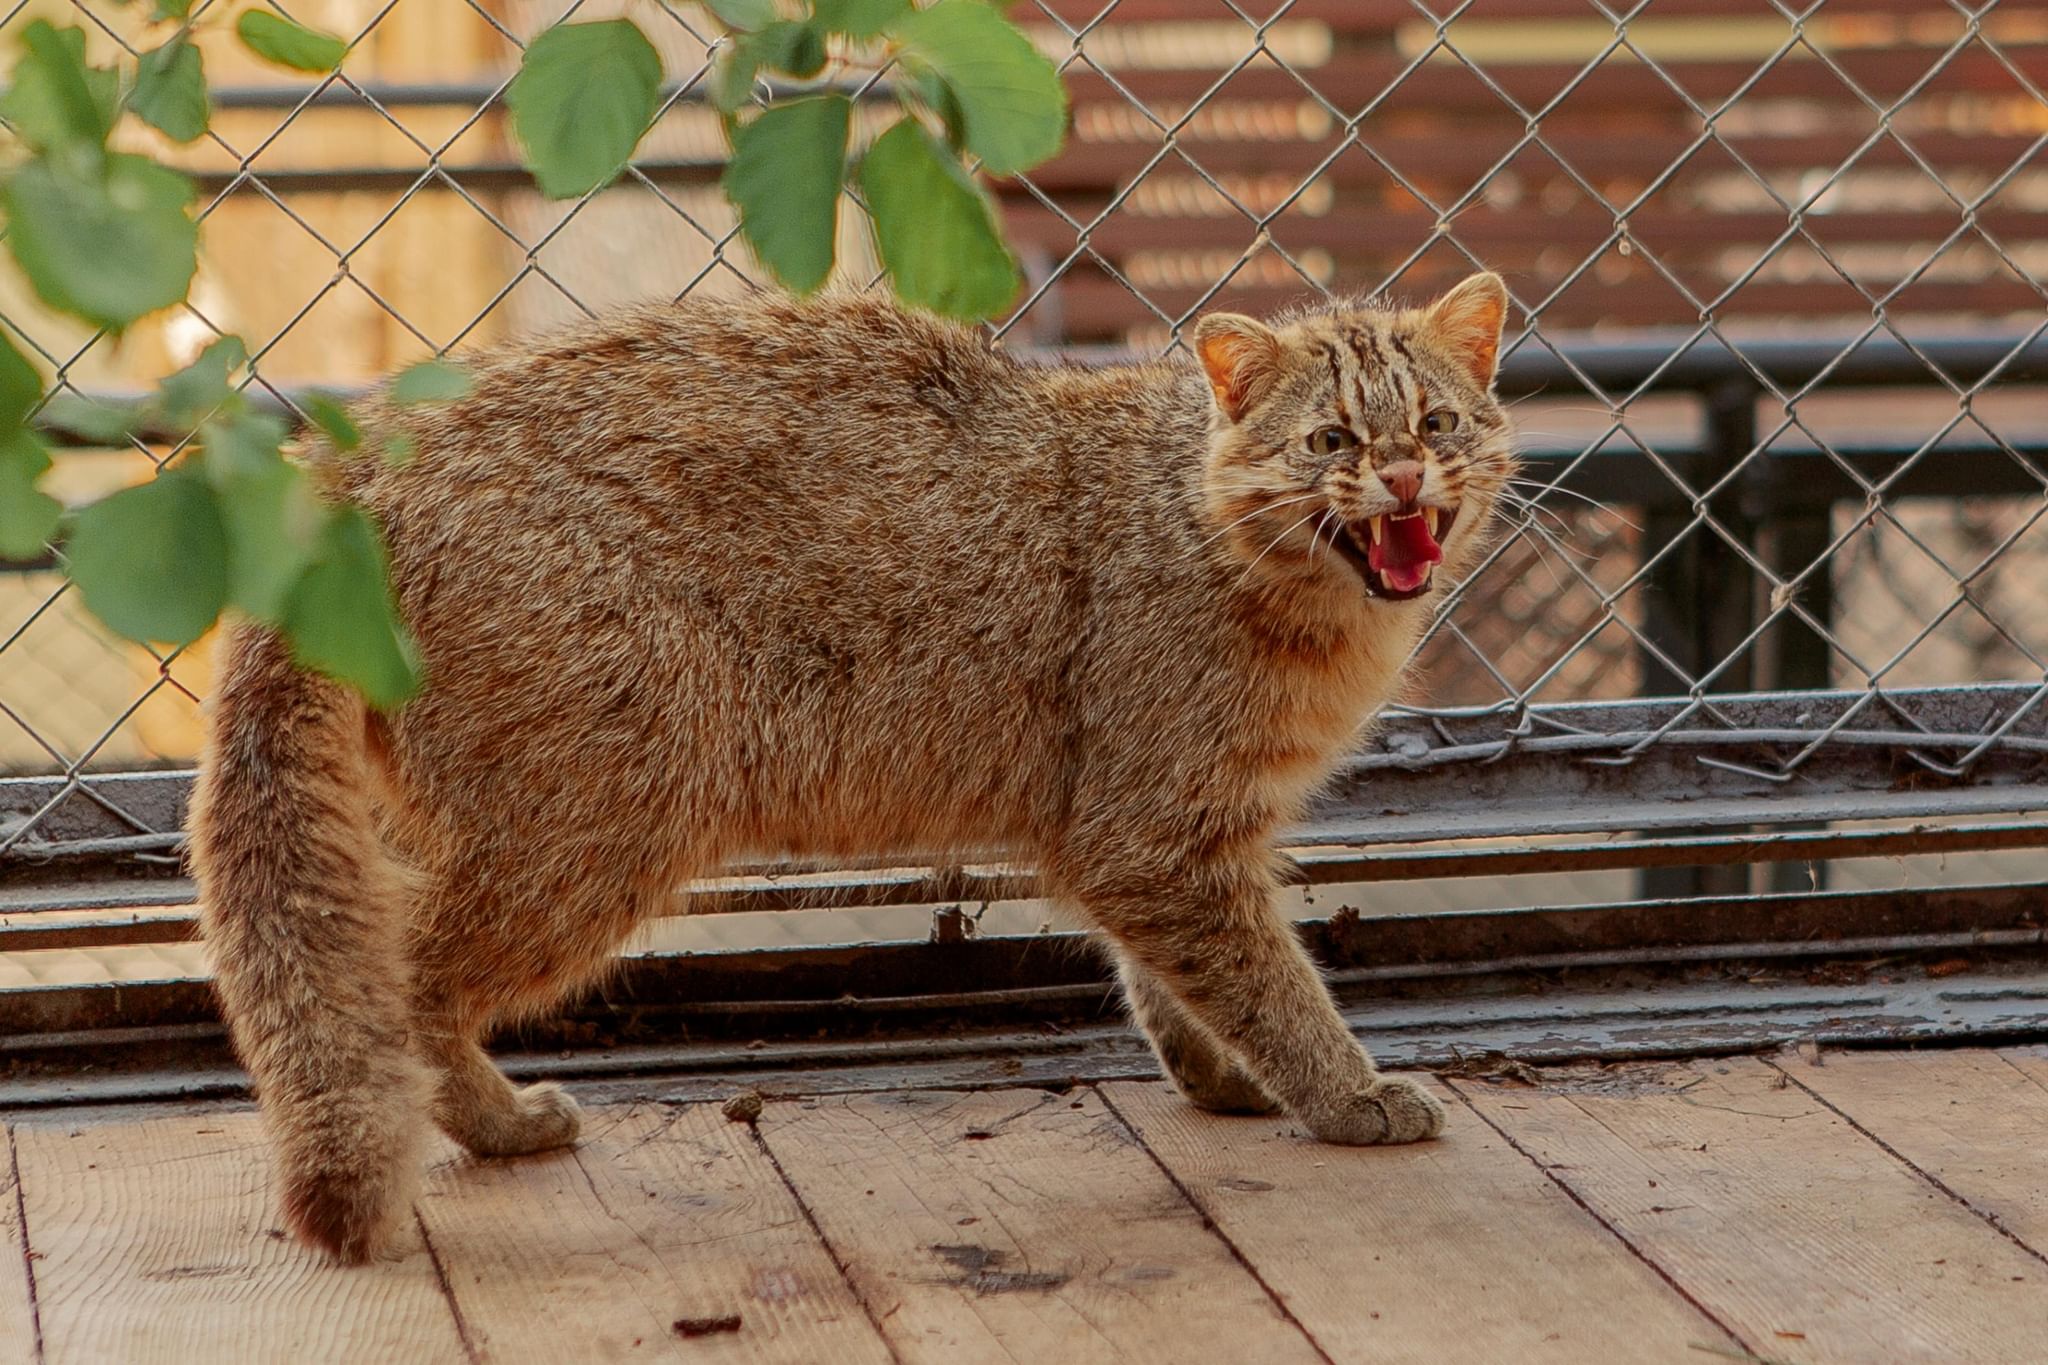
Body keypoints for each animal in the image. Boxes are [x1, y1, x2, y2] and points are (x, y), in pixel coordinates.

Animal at [192, 270, 1523, 1260]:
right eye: (1329, 438)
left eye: (1437, 422)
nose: (1404, 475)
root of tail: (365, 465)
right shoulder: (1151, 830)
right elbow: (1270, 983)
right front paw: (1344, 1093)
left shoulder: (1163, 832)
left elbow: (1174, 981)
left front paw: (1222, 1074)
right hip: (599, 823)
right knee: (404, 990)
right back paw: (501, 1123)